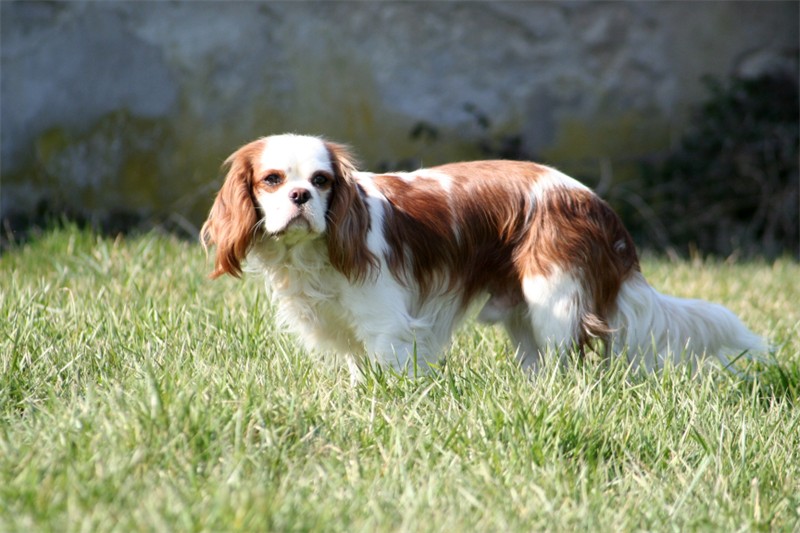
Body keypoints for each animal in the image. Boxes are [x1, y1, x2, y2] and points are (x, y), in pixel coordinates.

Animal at [198, 133, 764, 382]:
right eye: (272, 180)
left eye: (321, 181)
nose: (300, 197)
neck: (311, 257)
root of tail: (599, 206)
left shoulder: (387, 326)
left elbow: (390, 374)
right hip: (525, 314)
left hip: (554, 298)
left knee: (567, 358)